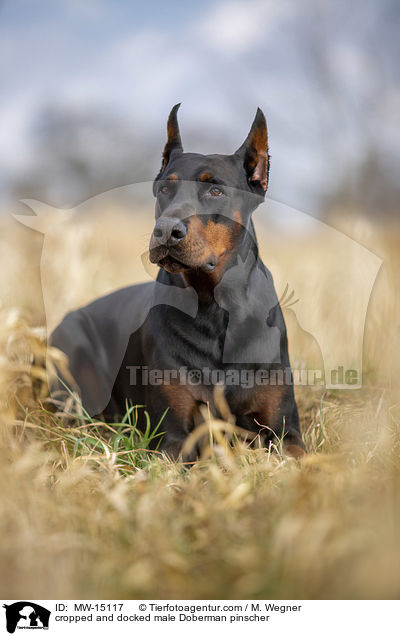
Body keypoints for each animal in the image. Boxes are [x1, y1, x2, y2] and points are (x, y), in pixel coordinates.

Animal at [51, 107, 304, 460]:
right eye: (164, 190)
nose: (166, 231)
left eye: (215, 190)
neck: (216, 309)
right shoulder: (173, 436)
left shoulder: (286, 432)